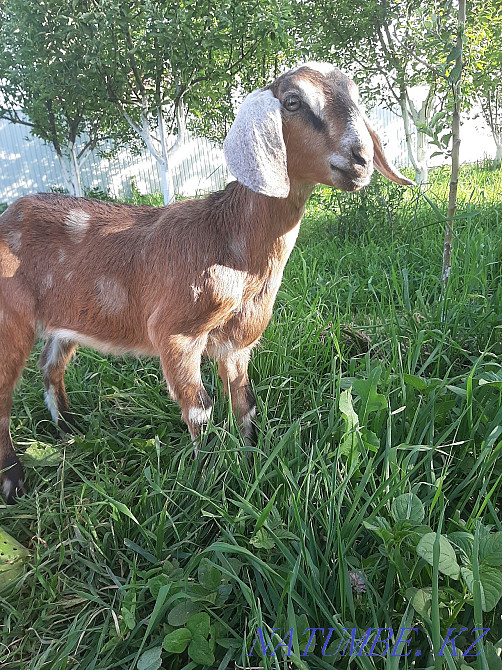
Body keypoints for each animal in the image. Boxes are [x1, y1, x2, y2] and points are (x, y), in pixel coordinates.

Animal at [0, 62, 413, 503]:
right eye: (292, 101)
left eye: (354, 94)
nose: (361, 159)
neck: (228, 238)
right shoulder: (175, 333)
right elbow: (200, 409)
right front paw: (209, 484)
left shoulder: (238, 340)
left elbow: (245, 403)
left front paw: (251, 465)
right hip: (11, 319)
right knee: (4, 394)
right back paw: (14, 481)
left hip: (65, 320)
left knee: (50, 368)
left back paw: (68, 431)